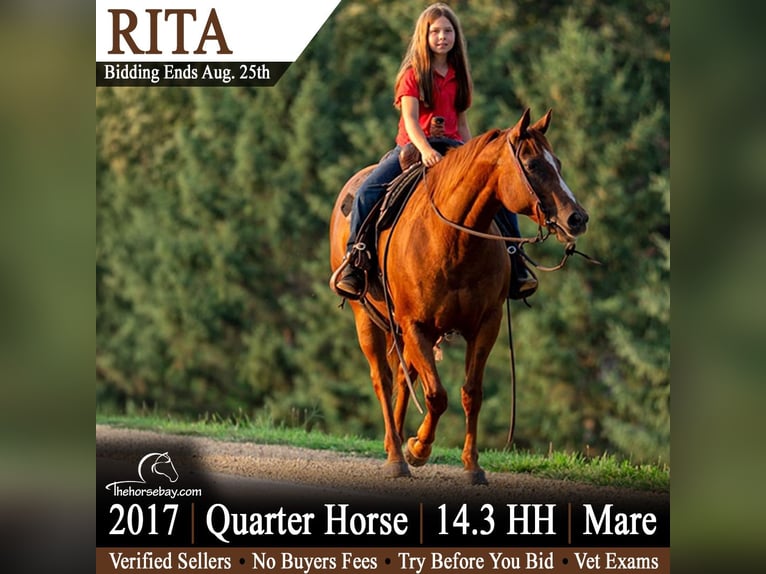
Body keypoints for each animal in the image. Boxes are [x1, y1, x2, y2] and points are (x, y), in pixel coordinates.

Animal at [329, 109, 589, 485]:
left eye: (559, 163)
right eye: (534, 164)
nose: (577, 218)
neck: (450, 240)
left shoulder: (485, 325)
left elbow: (471, 394)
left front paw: (471, 466)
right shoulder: (416, 325)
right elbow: (437, 395)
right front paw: (418, 449)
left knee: (404, 381)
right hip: (365, 317)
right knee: (384, 379)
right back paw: (396, 456)